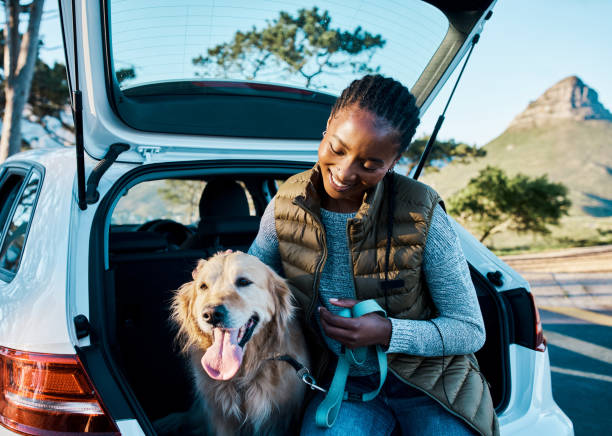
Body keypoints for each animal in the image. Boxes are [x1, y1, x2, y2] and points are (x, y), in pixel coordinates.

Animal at [170, 252, 308, 436]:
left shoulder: (280, 419)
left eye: (243, 282)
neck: (242, 376)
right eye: (203, 286)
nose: (211, 314)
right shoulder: (221, 419)